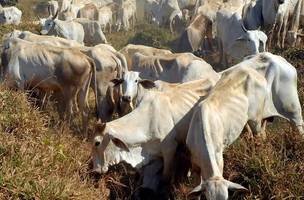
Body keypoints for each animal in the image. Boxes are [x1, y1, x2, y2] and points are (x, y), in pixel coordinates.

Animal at [185, 66, 266, 200]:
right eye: (207, 198)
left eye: (227, 197)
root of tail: (251, 70)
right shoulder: (194, 163)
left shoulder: (219, 159)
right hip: (244, 120)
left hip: (256, 119)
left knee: (259, 136)